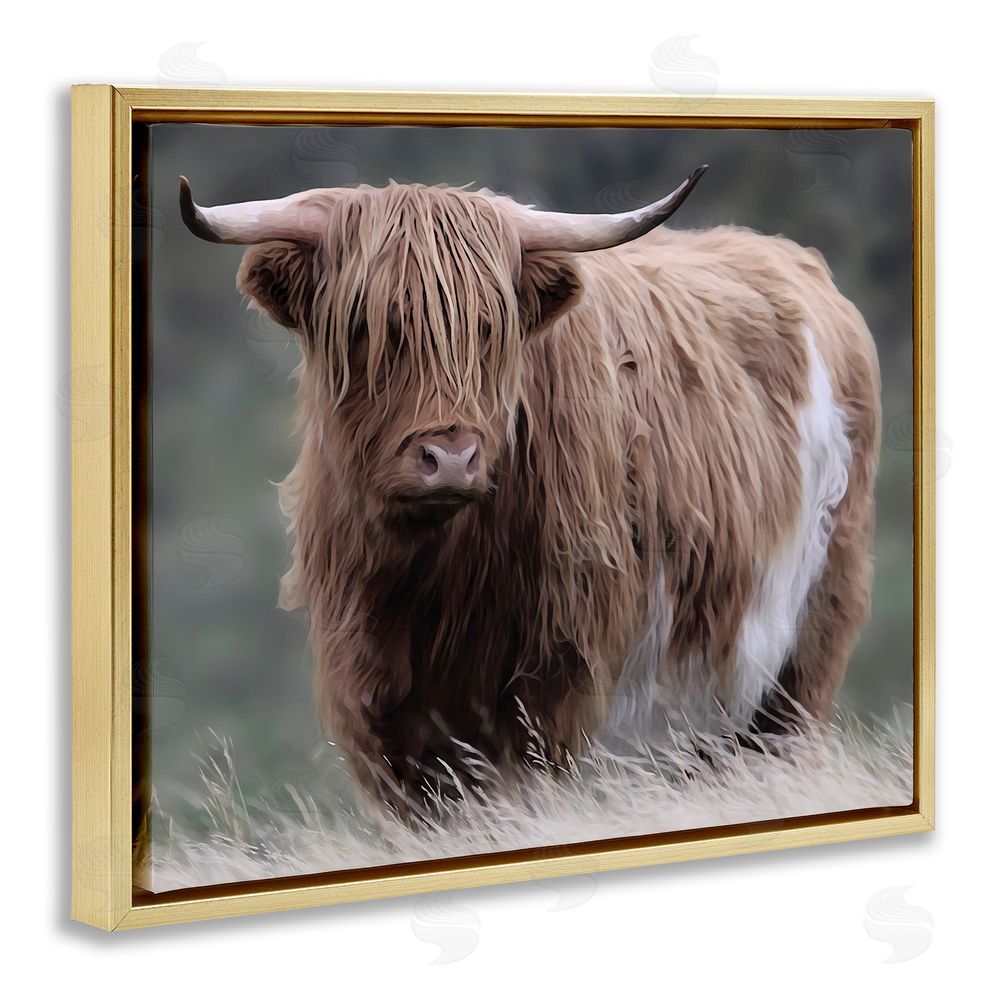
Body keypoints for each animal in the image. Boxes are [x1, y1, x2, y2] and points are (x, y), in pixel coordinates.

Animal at [179, 165, 880, 811]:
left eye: (491, 328)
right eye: (366, 327)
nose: (450, 458)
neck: (430, 583)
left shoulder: (552, 684)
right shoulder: (376, 705)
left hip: (802, 642)